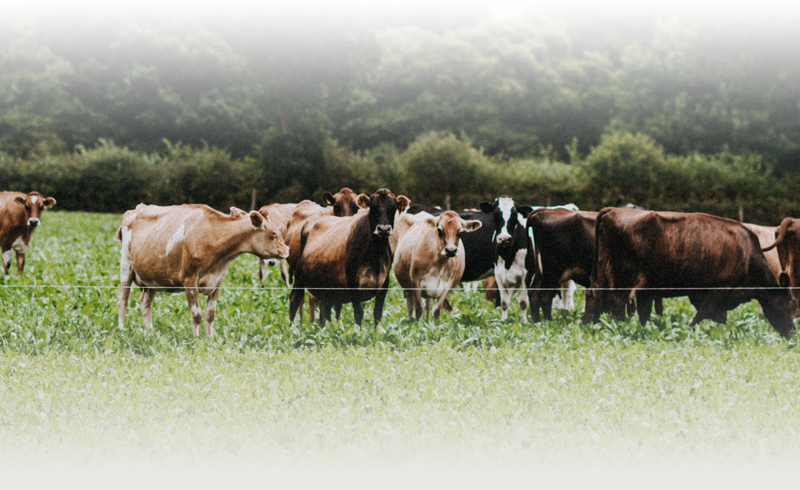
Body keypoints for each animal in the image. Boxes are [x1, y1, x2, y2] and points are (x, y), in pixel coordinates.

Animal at [117, 203, 290, 336]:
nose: (287, 250)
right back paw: (122, 330)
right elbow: (197, 314)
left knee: (146, 303)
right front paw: (196, 339)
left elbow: (210, 314)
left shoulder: (218, 280)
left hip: (152, 277)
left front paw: (210, 338)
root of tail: (136, 209)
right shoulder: (189, 278)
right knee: (122, 301)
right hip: (126, 266)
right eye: (274, 233)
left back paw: (150, 332)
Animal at [288, 189, 410, 328]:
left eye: (393, 208)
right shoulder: (353, 284)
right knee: (295, 299)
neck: (375, 256)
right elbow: (359, 314)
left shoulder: (384, 285)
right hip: (299, 276)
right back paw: (290, 329)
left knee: (324, 308)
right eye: (372, 208)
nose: (383, 229)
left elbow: (377, 315)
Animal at [580, 207, 792, 336]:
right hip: (623, 276)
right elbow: (702, 315)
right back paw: (620, 328)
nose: (791, 331)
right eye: (790, 303)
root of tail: (611, 210)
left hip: (603, 272)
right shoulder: (718, 289)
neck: (747, 254)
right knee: (616, 303)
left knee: (594, 296)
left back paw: (591, 326)